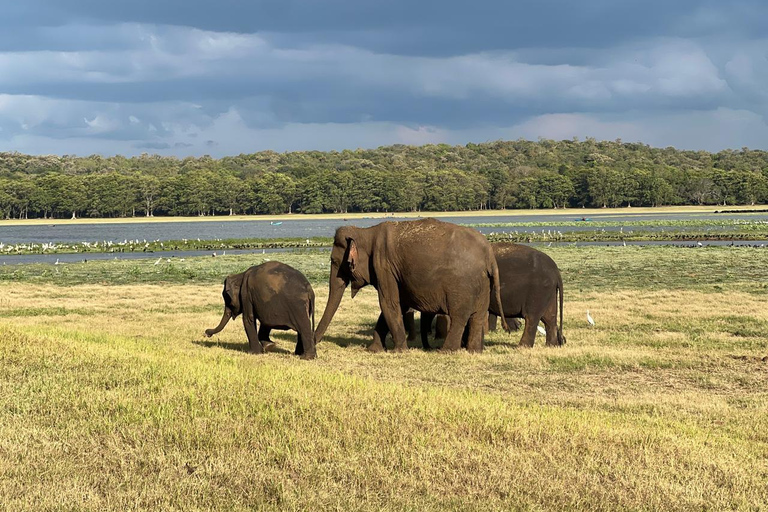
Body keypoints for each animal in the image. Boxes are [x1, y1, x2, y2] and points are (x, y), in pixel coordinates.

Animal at [314, 218, 510, 354]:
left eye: (334, 261)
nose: (315, 343)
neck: (366, 232)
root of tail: (489, 254)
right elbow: (397, 305)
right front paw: (374, 350)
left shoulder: (383, 265)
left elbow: (388, 303)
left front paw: (398, 350)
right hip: (483, 284)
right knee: (478, 316)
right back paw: (474, 351)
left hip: (462, 285)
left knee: (459, 317)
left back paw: (446, 351)